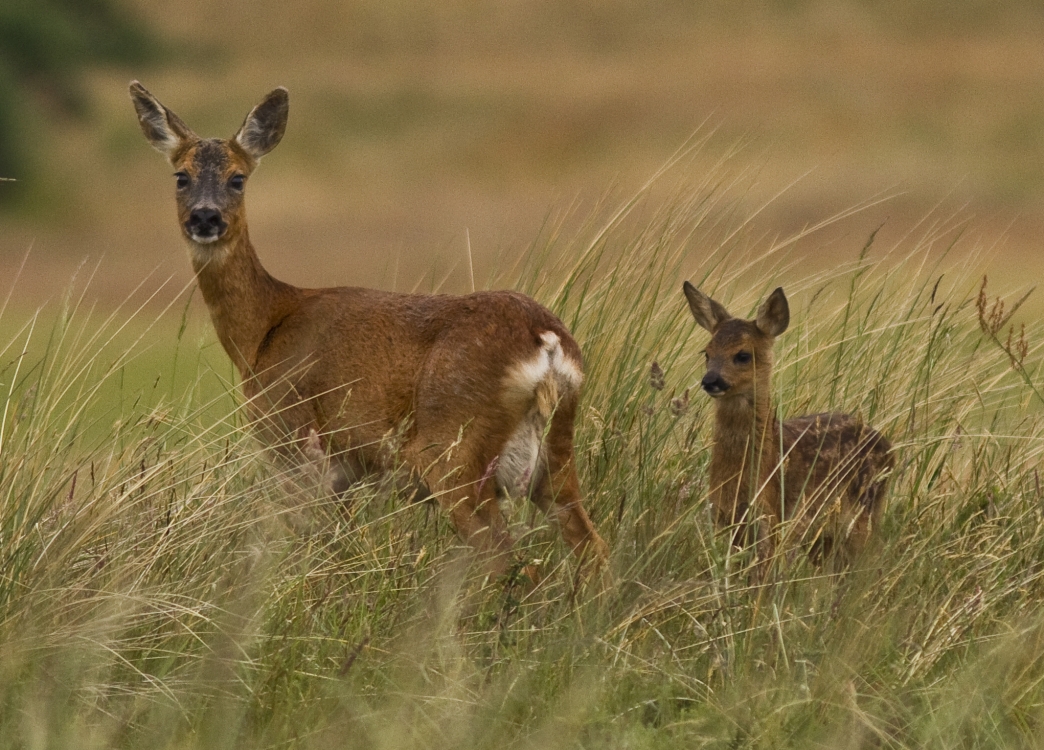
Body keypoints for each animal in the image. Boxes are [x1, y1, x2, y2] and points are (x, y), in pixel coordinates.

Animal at [128, 81, 608, 580]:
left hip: (451, 451)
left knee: (505, 559)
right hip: (556, 456)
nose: (205, 218)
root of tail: (546, 342)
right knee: (593, 550)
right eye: (180, 176)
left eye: (238, 178)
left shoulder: (294, 439)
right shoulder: (345, 469)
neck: (264, 329)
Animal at [683, 282, 893, 569]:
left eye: (743, 355)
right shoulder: (723, 518)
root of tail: (889, 448)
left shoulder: (772, 519)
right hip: (823, 537)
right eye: (707, 352)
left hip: (863, 513)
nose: (710, 380)